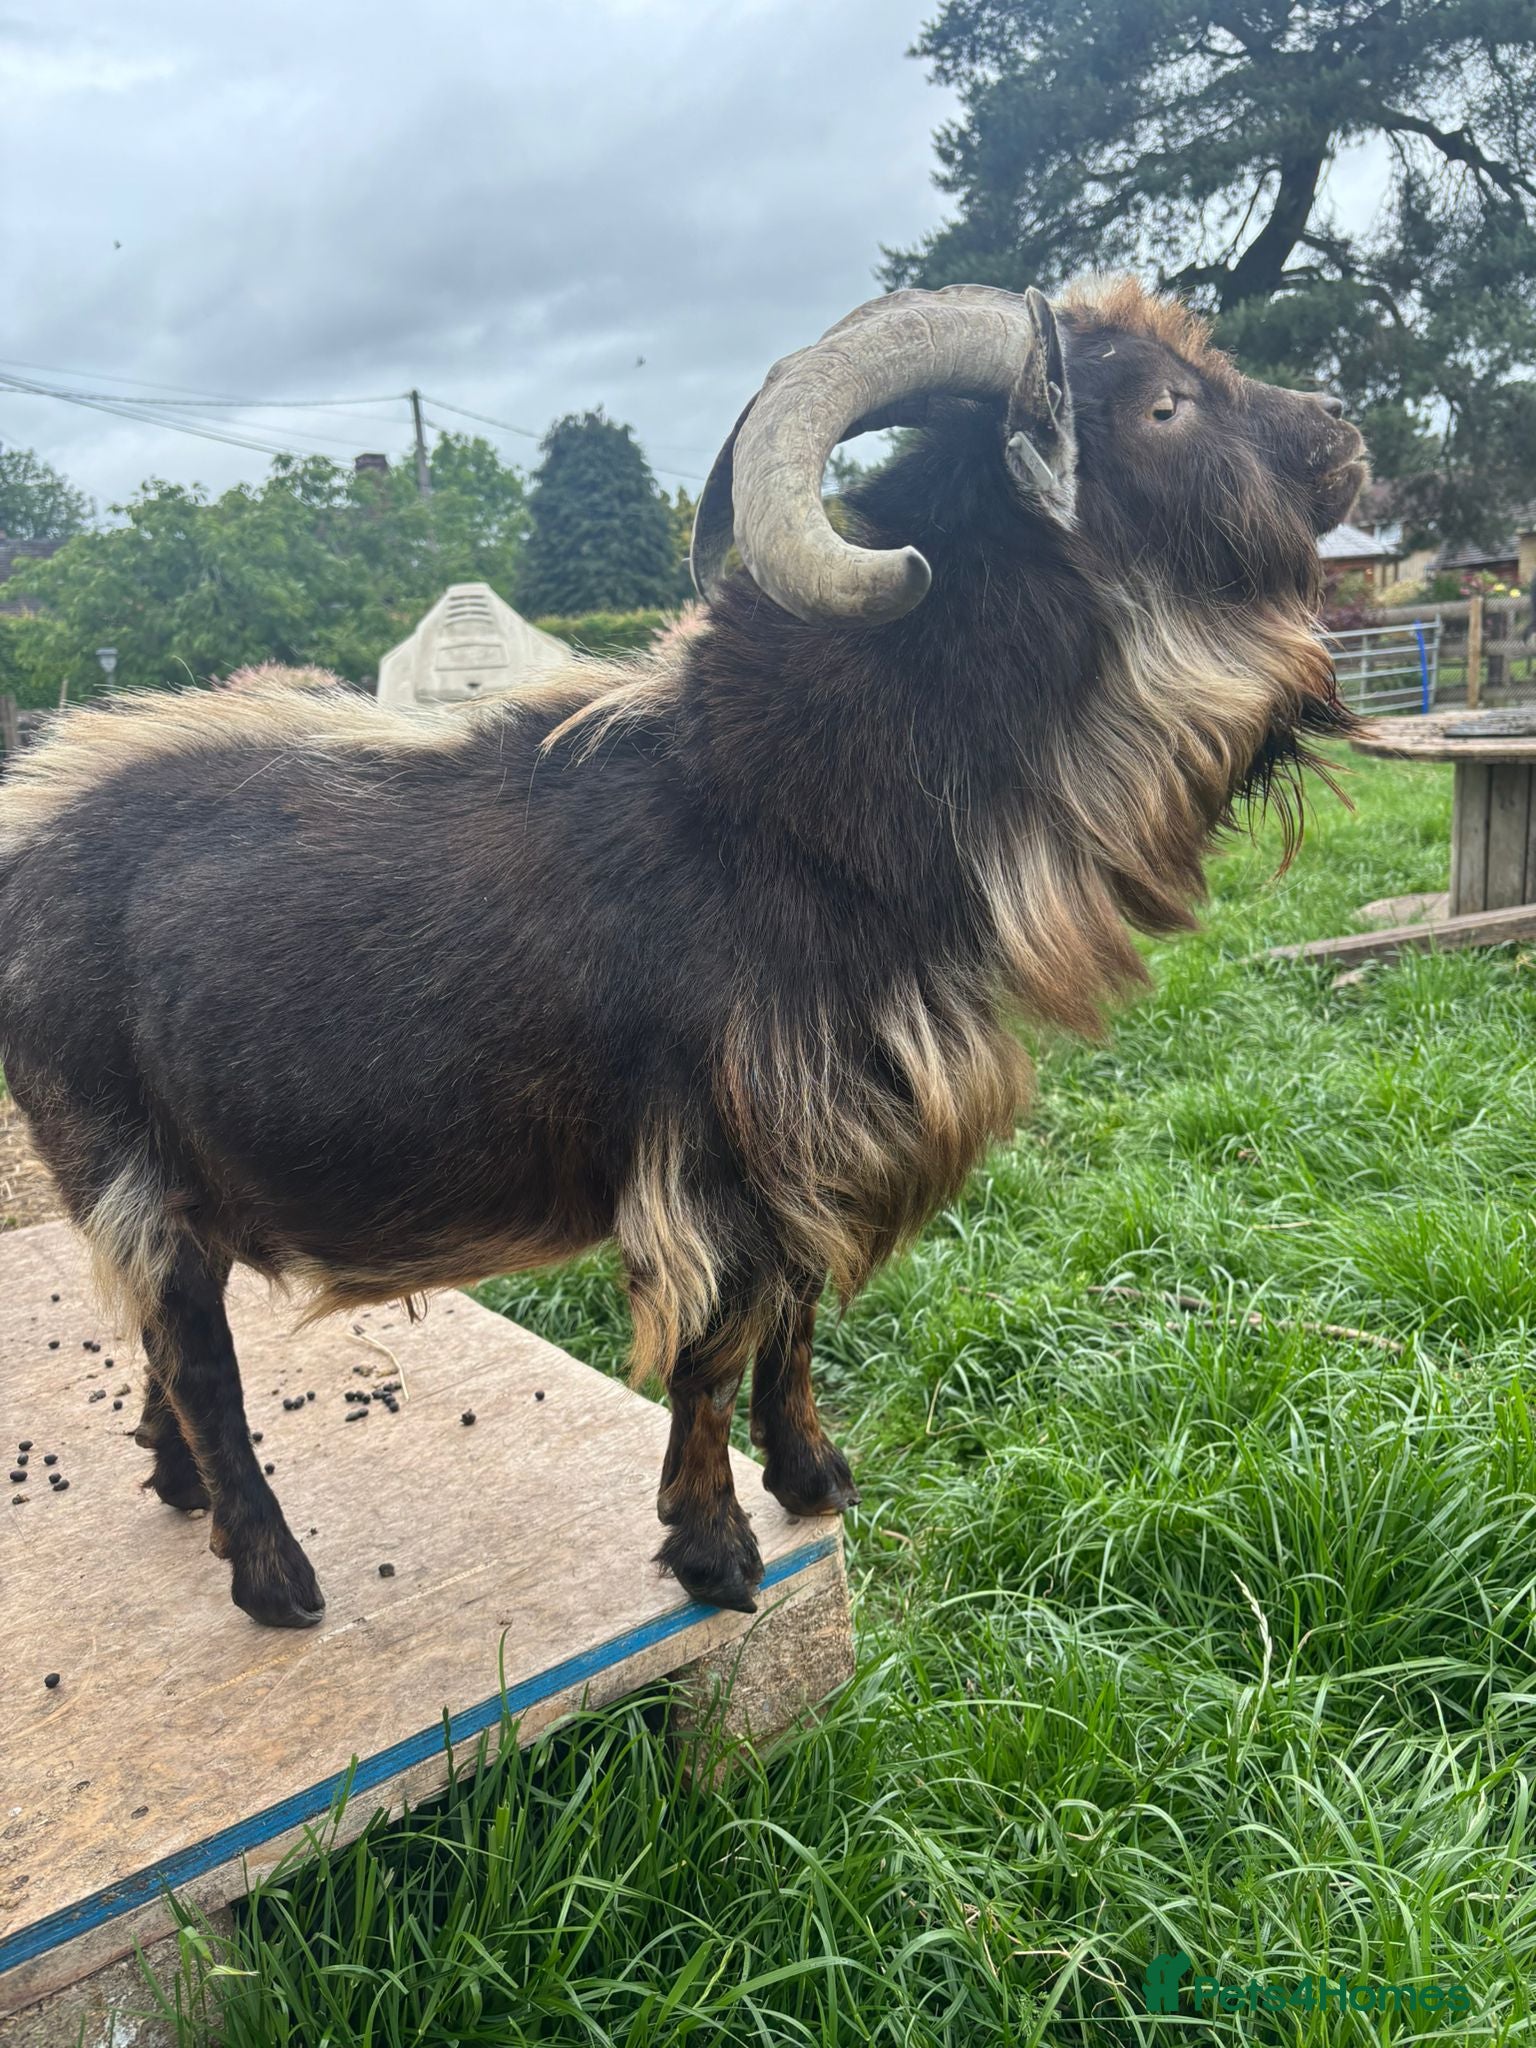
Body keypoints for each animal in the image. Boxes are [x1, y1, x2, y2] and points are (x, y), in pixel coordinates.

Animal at [0, 278, 1364, 1626]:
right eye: (1164, 404)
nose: (1340, 430)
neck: (768, 804)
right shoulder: (715, 1154)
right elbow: (712, 1347)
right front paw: (715, 1553)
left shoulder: (828, 1137)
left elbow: (798, 1318)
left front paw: (815, 1477)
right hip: (115, 1160)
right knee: (197, 1355)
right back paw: (274, 1574)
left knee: (166, 1348)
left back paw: (178, 1485)